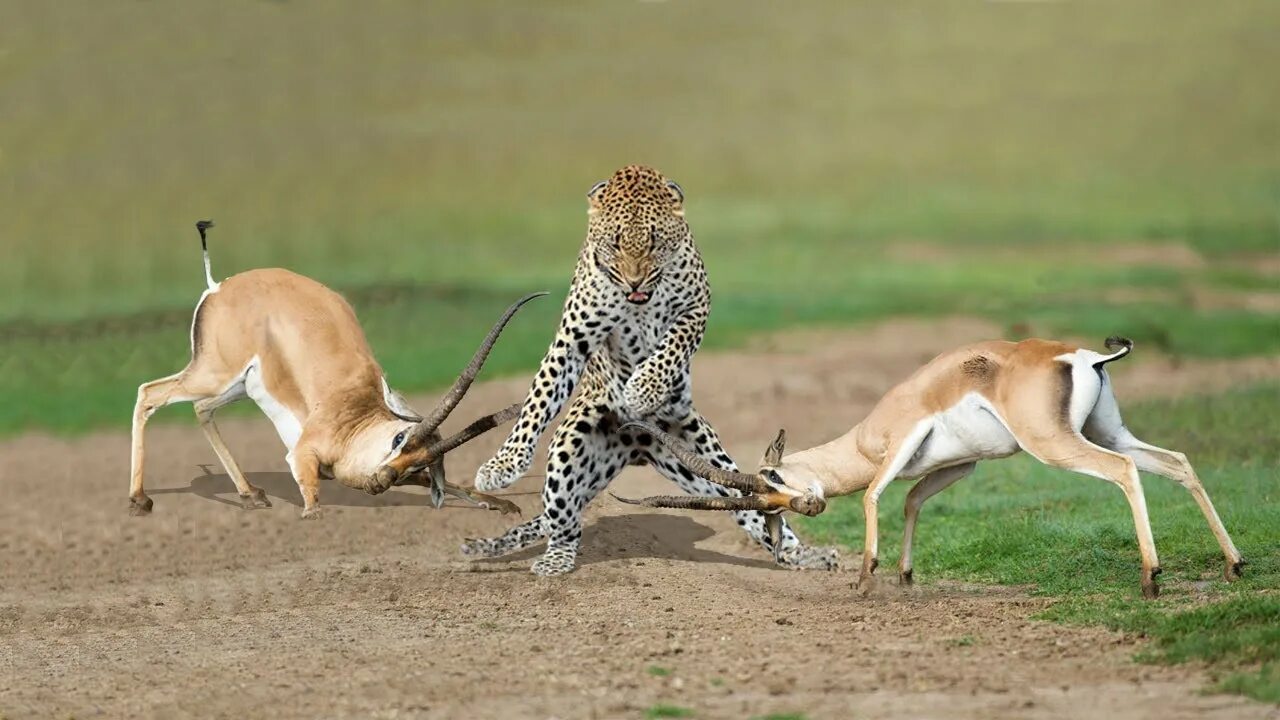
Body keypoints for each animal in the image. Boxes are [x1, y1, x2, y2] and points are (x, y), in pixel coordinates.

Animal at [131, 219, 545, 515]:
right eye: (399, 440)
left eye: (420, 462)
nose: (382, 480)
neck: (355, 412)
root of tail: (219, 287)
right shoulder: (303, 454)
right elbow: (313, 503)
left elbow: (454, 486)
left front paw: (502, 503)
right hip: (214, 375)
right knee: (149, 393)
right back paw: (140, 502)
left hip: (236, 389)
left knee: (201, 409)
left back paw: (251, 496)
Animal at [460, 162, 839, 571]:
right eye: (614, 243)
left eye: (656, 243)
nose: (635, 280)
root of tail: (637, 444)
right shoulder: (573, 337)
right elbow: (538, 398)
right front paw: (502, 466)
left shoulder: (696, 308)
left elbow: (672, 344)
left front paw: (643, 389)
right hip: (568, 453)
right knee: (565, 524)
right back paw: (555, 560)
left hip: (706, 460)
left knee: (756, 503)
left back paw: (804, 554)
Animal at [614, 333, 1244, 597]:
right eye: (766, 508)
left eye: (773, 481)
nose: (809, 505)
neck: (863, 436)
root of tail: (1084, 355)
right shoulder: (960, 467)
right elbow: (914, 499)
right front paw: (904, 576)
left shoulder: (900, 444)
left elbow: (874, 495)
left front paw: (865, 579)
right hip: (1106, 429)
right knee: (1176, 461)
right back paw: (1234, 565)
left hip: (1055, 444)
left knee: (1123, 473)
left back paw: (1152, 579)